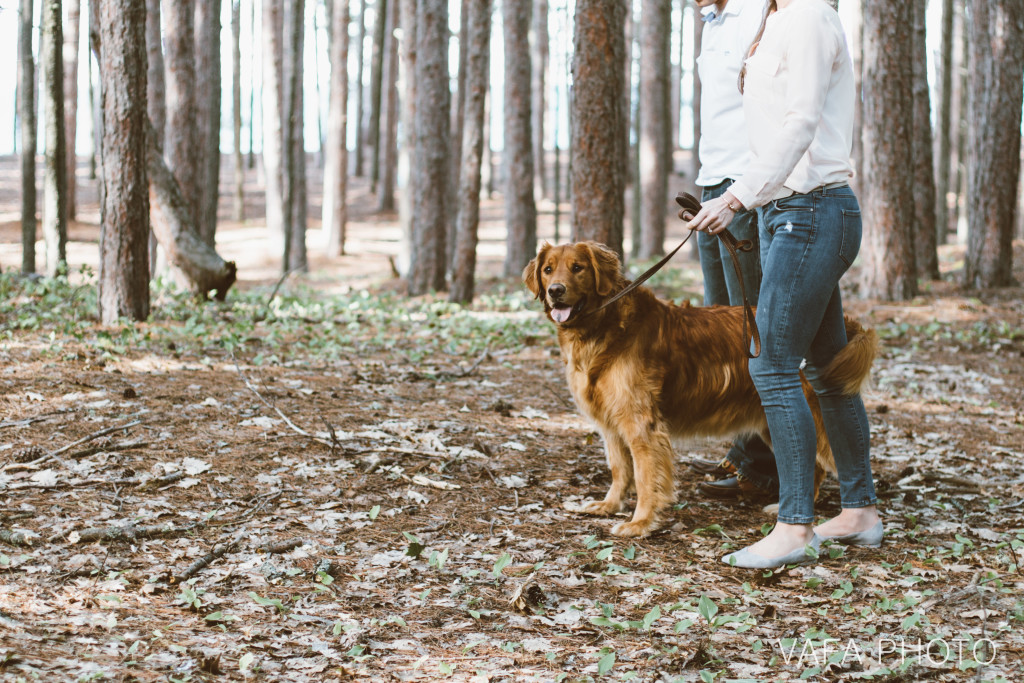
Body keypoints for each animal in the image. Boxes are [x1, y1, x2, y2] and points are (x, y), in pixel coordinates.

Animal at [524, 242, 876, 536]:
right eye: (548, 269)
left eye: (578, 267)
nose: (555, 290)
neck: (602, 327)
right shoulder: (611, 423)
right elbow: (619, 469)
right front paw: (609, 505)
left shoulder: (641, 425)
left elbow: (645, 477)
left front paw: (640, 523)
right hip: (772, 420)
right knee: (812, 465)